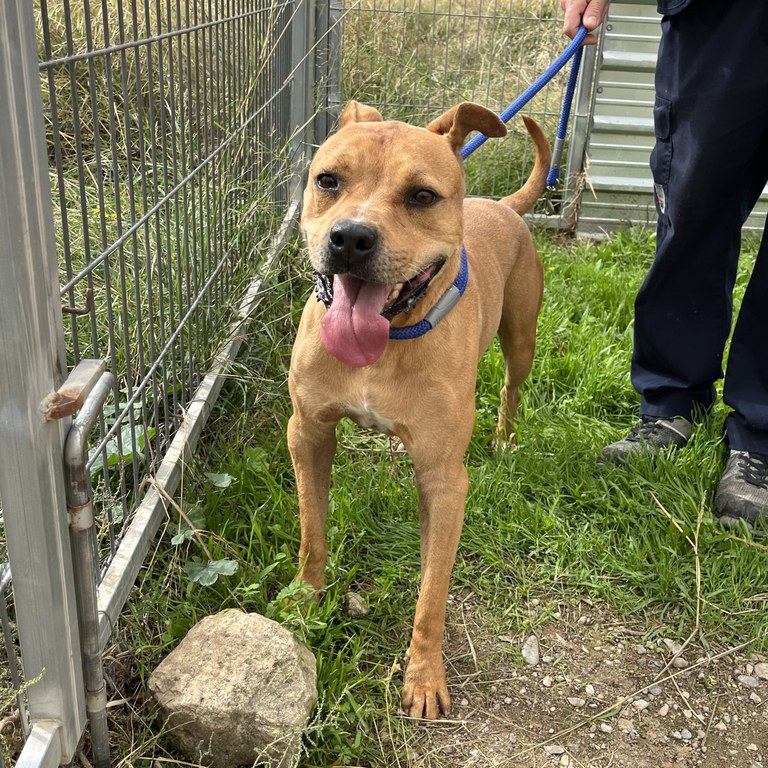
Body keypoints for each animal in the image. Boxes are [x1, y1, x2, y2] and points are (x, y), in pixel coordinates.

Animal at [287, 100, 550, 719]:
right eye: (328, 180)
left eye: (422, 196)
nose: (351, 237)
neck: (389, 341)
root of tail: (500, 206)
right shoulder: (306, 434)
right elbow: (313, 533)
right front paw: (306, 604)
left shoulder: (444, 480)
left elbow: (432, 594)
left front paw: (425, 676)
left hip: (521, 341)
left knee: (512, 389)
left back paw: (505, 439)